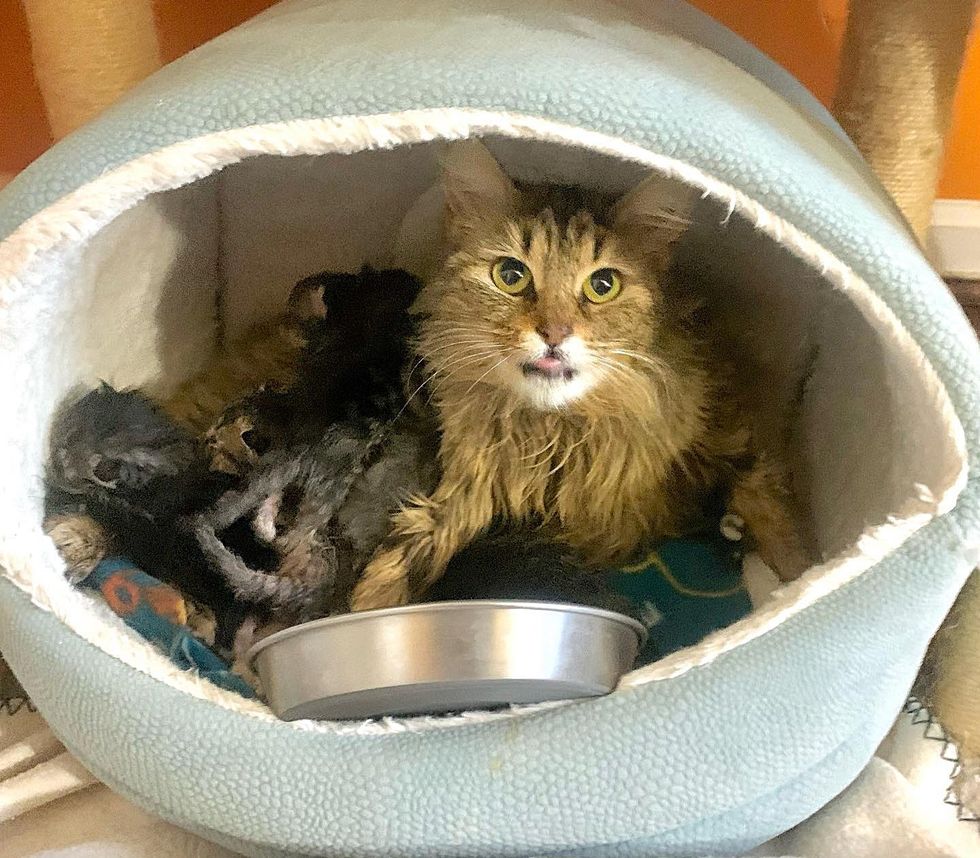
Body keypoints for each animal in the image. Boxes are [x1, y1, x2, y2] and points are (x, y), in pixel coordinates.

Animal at [350, 139, 812, 608]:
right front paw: (371, 601)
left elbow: (768, 507)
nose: (554, 334)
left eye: (603, 285)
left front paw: (803, 580)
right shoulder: (471, 477)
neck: (556, 435)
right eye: (511, 275)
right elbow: (422, 536)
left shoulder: (737, 436)